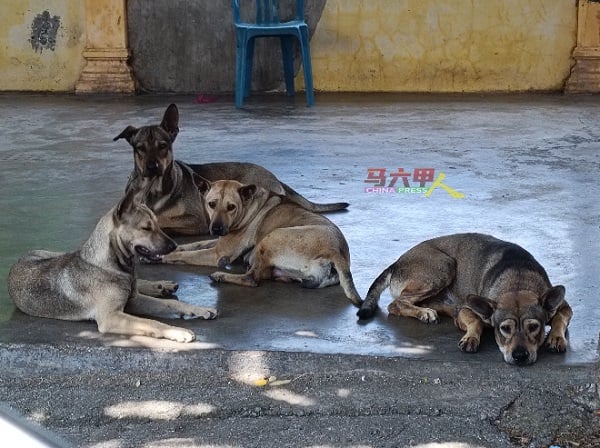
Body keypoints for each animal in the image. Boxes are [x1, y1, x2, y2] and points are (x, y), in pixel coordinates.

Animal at [7, 189, 218, 344]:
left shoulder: (133, 301)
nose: (174, 246)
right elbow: (151, 322)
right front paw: (178, 331)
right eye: (146, 228)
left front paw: (199, 309)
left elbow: (172, 303)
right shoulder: (112, 317)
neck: (113, 265)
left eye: (158, 225)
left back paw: (160, 285)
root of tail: (20, 258)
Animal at [113, 104, 346, 236]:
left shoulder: (197, 220)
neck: (152, 188)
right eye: (140, 148)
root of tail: (274, 177)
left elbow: (163, 220)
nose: (152, 167)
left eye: (163, 146)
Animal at [157, 178, 364, 308]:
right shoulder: (217, 241)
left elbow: (187, 254)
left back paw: (221, 276)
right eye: (211, 204)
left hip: (270, 238)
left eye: (231, 207)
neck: (249, 206)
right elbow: (192, 245)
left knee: (252, 278)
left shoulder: (217, 253)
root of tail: (336, 251)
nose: (216, 228)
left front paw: (163, 257)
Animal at [356, 233, 572, 366]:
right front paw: (471, 337)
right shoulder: (471, 308)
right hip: (444, 266)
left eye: (534, 327)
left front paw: (555, 337)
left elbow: (560, 318)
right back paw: (425, 313)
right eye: (504, 329)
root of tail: (397, 263)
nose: (519, 356)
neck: (518, 281)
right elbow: (475, 321)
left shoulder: (564, 306)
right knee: (395, 304)